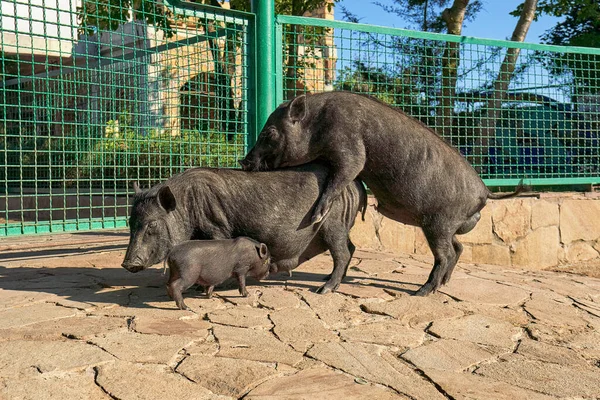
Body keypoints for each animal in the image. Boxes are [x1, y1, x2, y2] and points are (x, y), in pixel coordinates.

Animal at [121, 162, 366, 294]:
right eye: (130, 222)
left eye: (152, 224)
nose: (127, 264)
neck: (188, 207)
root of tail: (356, 184)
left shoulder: (216, 227)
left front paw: (203, 290)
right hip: (341, 226)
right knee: (351, 247)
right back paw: (327, 279)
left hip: (334, 224)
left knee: (343, 253)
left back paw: (324, 289)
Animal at [240, 91, 524, 296]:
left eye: (269, 133)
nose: (244, 162)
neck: (316, 124)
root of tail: (485, 192)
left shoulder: (350, 149)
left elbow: (344, 173)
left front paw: (316, 216)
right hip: (445, 226)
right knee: (459, 247)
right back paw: (442, 285)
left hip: (439, 223)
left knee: (446, 255)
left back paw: (421, 292)